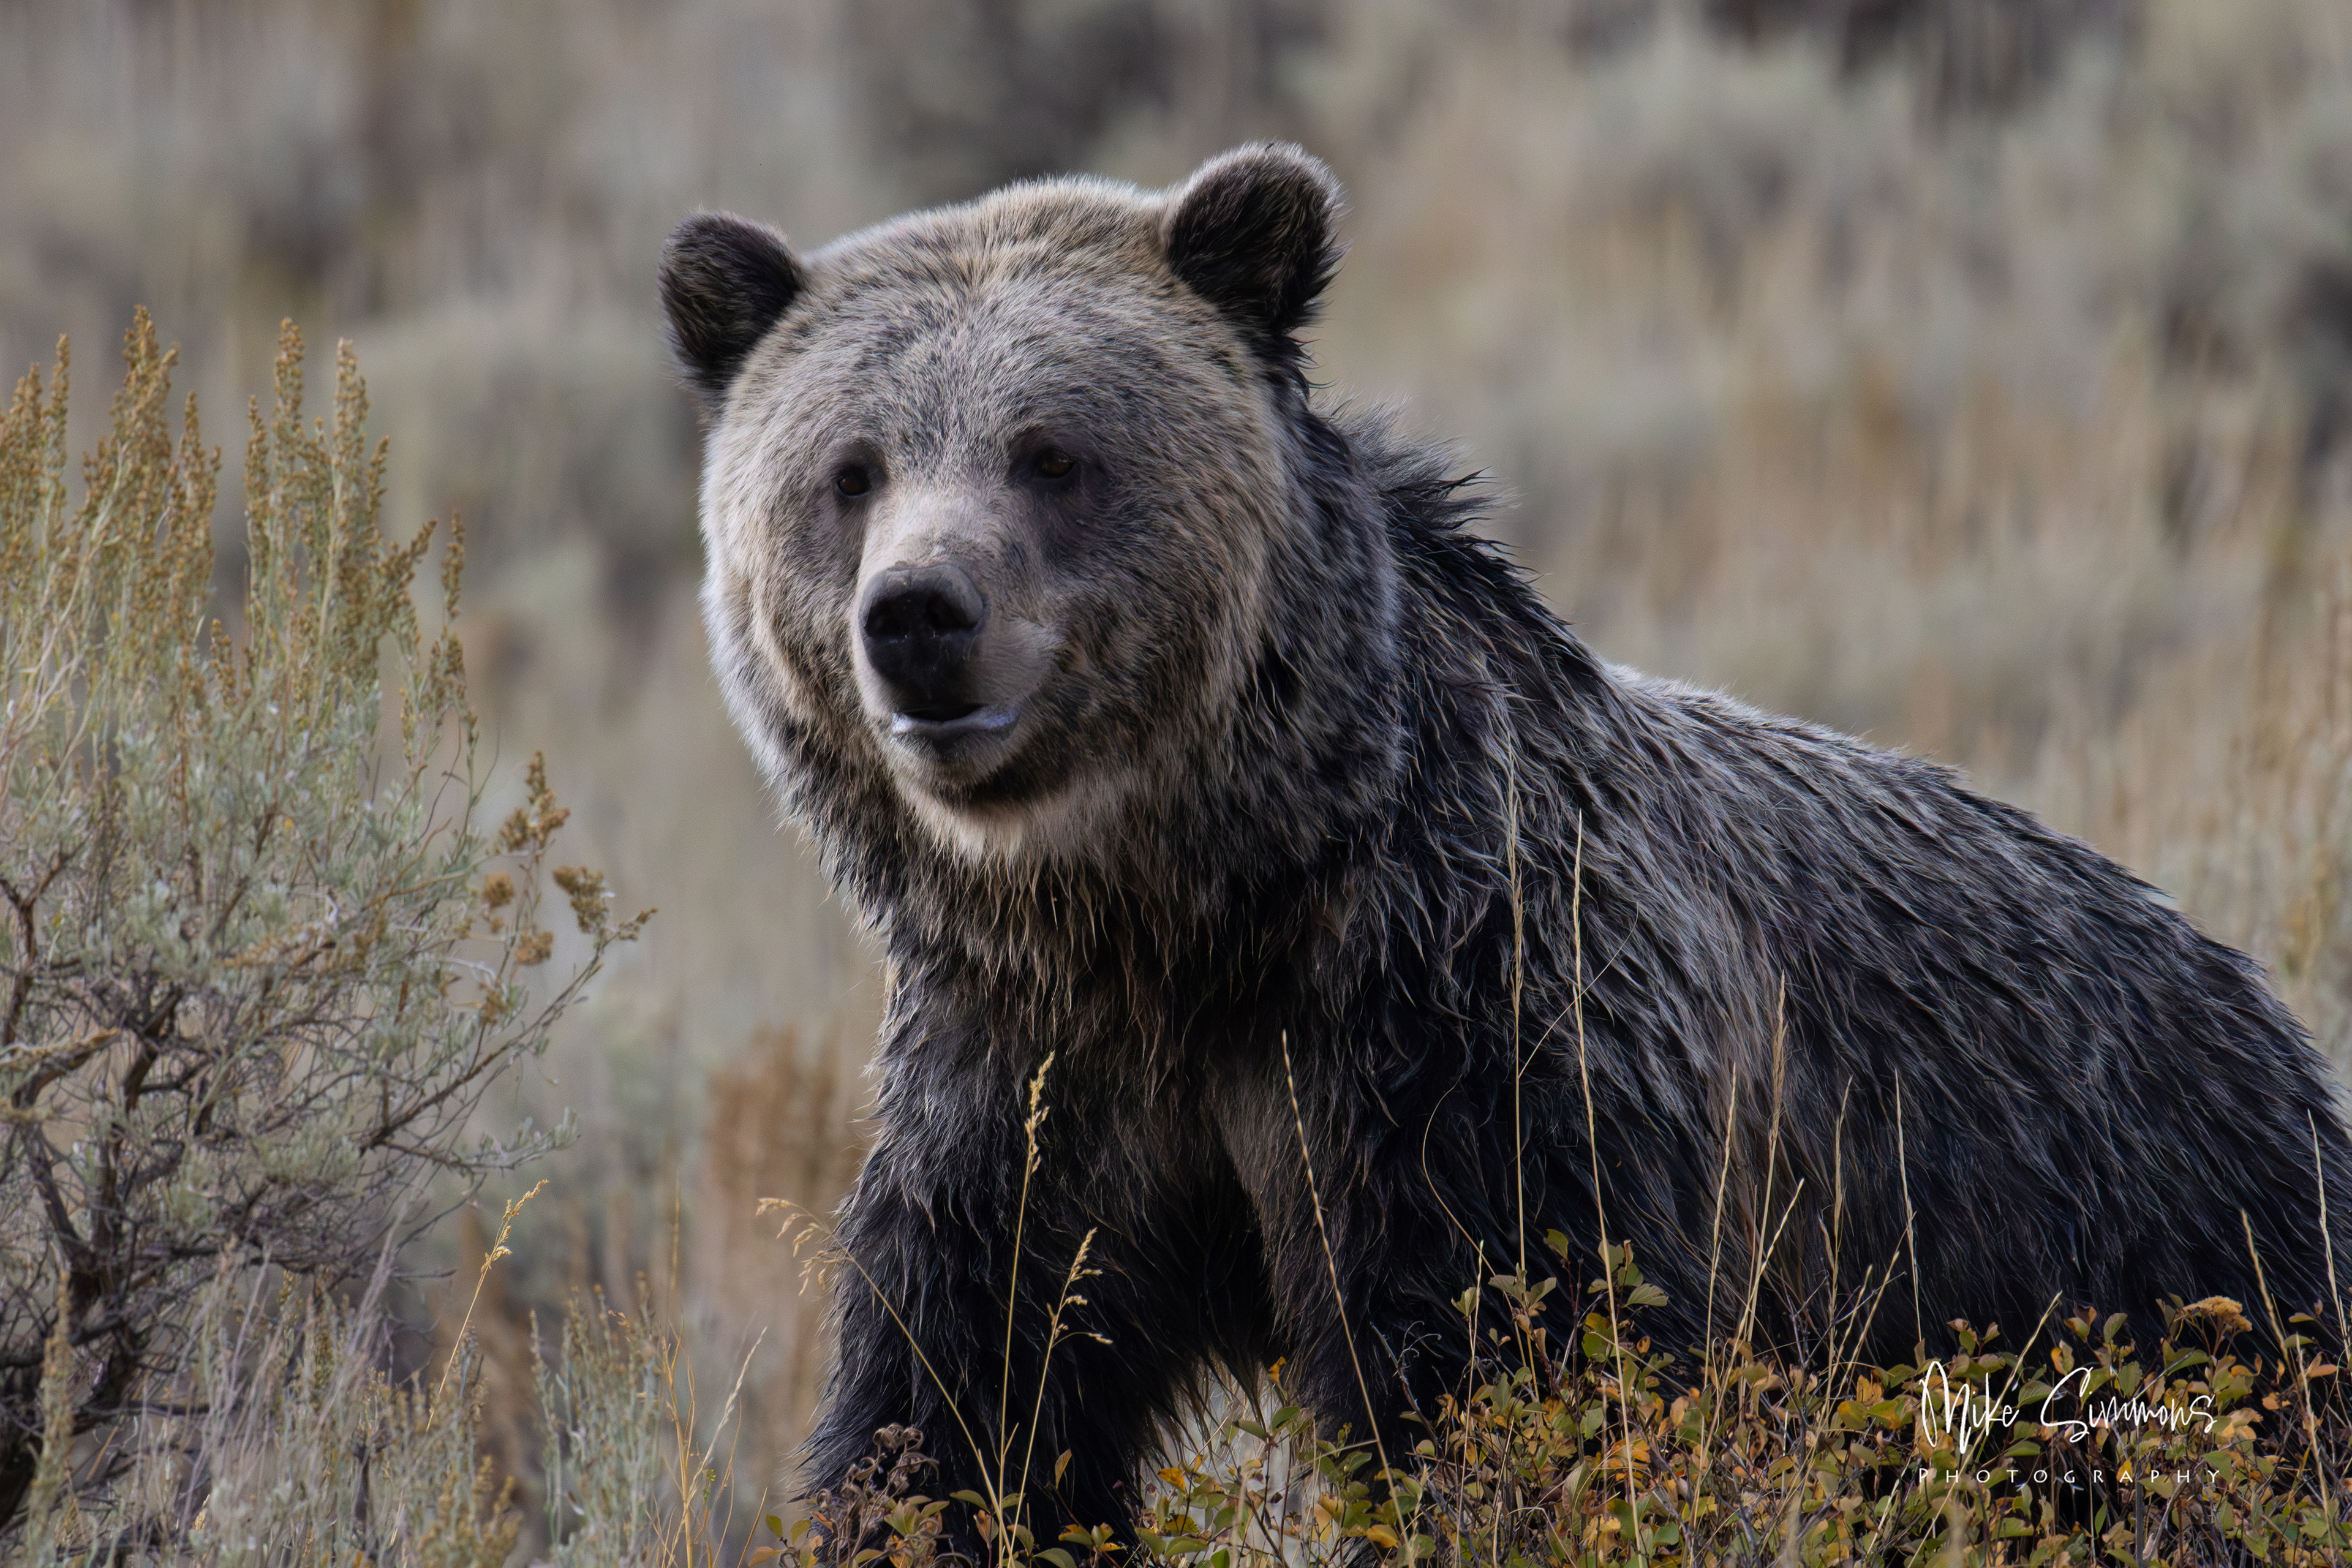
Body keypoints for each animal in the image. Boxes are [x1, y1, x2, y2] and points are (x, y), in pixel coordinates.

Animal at [660, 143, 2352, 1543]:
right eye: (850, 469)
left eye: (1051, 449)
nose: (918, 617)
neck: (1197, 906)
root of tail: (2251, 993)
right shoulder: (1024, 1095)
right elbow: (965, 1416)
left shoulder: (1474, 1051)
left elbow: (1522, 1382)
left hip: (2155, 1252)